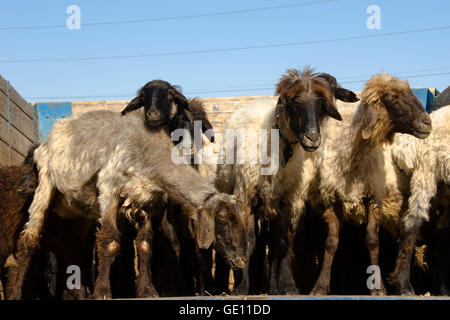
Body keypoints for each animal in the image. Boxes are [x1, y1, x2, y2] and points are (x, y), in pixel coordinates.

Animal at [214, 65, 358, 296]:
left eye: (322, 105)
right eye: (294, 102)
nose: (312, 138)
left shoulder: (287, 202)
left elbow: (281, 246)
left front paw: (286, 287)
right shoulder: (247, 196)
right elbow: (249, 242)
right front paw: (241, 288)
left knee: (273, 245)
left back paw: (273, 286)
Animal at [310, 72, 432, 296]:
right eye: (393, 98)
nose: (427, 123)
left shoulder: (374, 197)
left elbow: (372, 242)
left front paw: (378, 288)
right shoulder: (331, 199)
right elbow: (331, 243)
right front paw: (320, 286)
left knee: (409, 237)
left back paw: (407, 286)